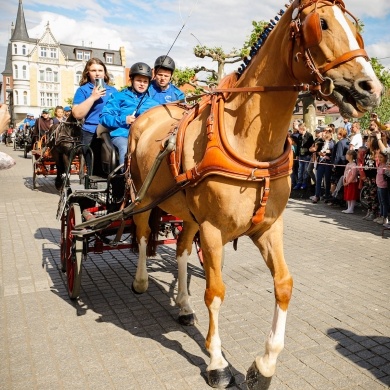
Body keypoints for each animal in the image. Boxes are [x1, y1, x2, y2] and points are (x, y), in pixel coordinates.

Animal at [127, 1, 380, 388]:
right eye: (320, 25)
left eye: (356, 30)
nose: (372, 87)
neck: (249, 141)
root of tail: (147, 114)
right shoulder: (213, 231)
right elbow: (215, 292)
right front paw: (217, 363)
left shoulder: (269, 227)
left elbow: (284, 284)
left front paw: (264, 365)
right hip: (142, 198)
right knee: (141, 235)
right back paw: (141, 281)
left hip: (188, 213)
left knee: (182, 251)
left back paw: (183, 306)